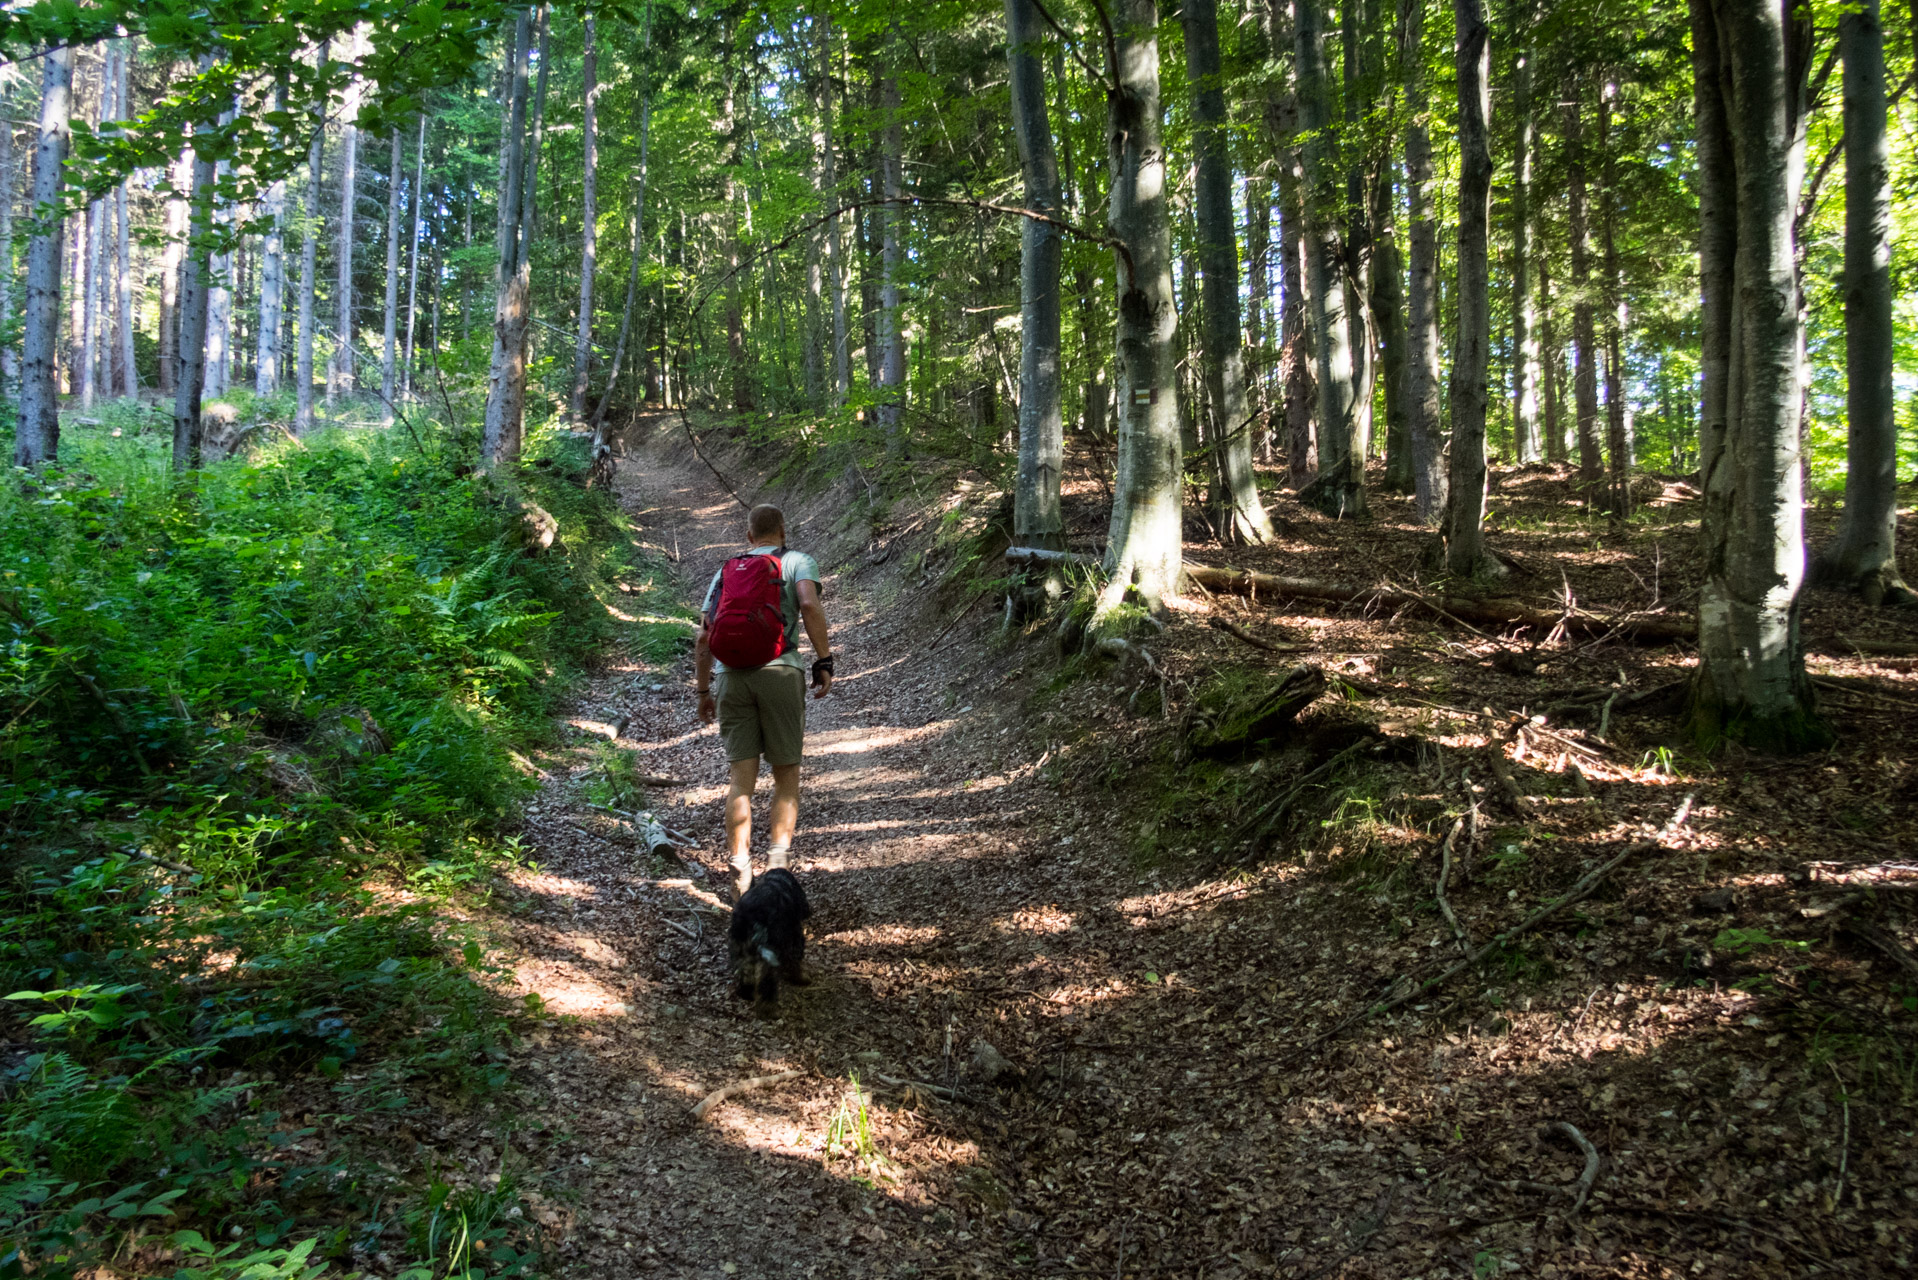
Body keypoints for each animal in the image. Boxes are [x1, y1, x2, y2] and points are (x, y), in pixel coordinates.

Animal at [721, 871, 805, 1013]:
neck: (775, 881)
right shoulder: (794, 932)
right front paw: (800, 978)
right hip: (767, 950)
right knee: (766, 980)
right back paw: (768, 1008)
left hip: (739, 947)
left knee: (745, 973)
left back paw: (746, 994)